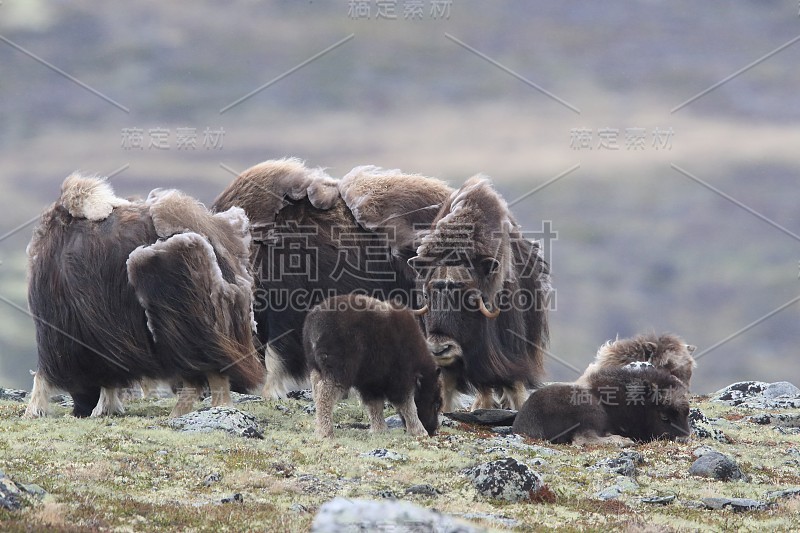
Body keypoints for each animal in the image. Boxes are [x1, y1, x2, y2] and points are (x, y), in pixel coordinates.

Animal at [24, 172, 262, 418]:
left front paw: (34, 410)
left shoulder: (59, 331)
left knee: (209, 371)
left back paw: (193, 410)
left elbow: (44, 375)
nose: (80, 411)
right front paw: (107, 407)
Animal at [304, 296, 444, 436]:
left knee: (317, 392)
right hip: (338, 371)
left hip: (316, 369)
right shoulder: (401, 378)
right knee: (324, 394)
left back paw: (319, 428)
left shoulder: (370, 381)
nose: (433, 430)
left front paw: (379, 429)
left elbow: (375, 404)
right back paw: (325, 432)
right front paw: (419, 431)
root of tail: (315, 322)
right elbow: (408, 404)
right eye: (436, 402)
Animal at [516, 362, 692, 444]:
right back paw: (624, 441)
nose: (684, 439)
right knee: (584, 438)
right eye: (664, 416)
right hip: (591, 412)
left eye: (687, 413)